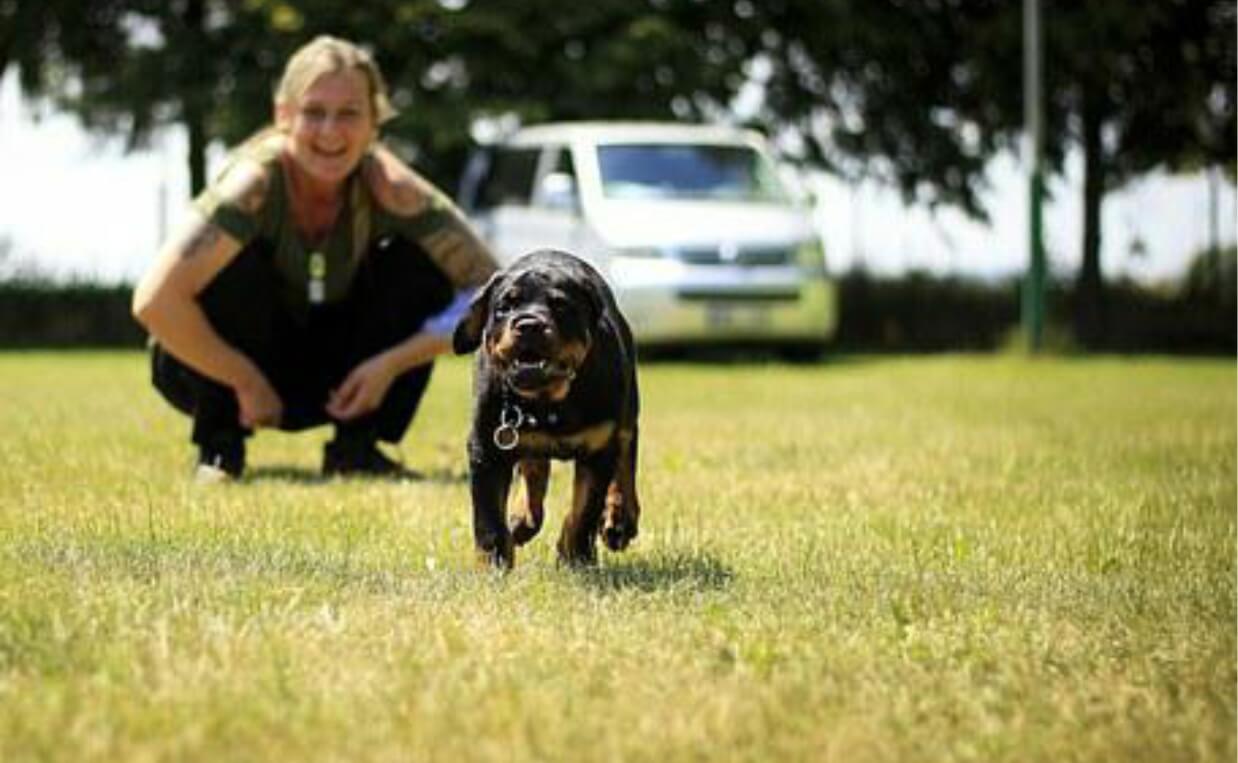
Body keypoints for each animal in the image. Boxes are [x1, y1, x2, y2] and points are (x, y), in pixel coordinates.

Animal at [458, 248, 648, 567]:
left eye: (561, 306)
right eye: (504, 307)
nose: (528, 325)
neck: (549, 402)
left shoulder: (599, 448)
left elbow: (584, 511)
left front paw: (576, 557)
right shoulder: (486, 446)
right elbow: (488, 519)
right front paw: (493, 563)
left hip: (626, 413)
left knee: (625, 455)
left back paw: (620, 518)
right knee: (534, 467)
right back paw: (523, 517)